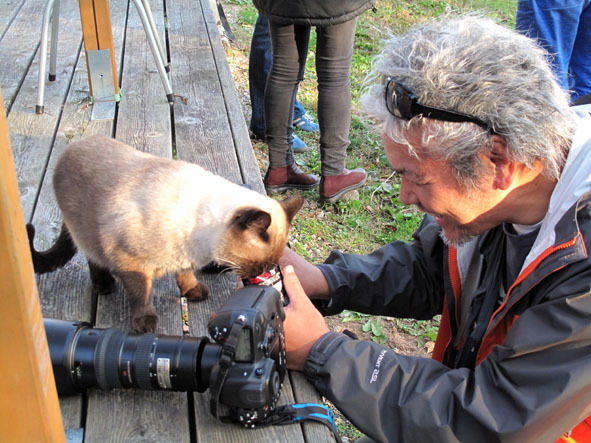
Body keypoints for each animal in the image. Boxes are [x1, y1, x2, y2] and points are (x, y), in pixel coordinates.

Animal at [27, 135, 302, 332]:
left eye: (269, 266)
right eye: (258, 265)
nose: (261, 275)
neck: (200, 242)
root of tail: (72, 147)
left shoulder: (184, 258)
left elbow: (186, 275)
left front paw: (193, 292)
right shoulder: (132, 264)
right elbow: (142, 295)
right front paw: (145, 323)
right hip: (87, 233)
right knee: (93, 259)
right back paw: (104, 285)